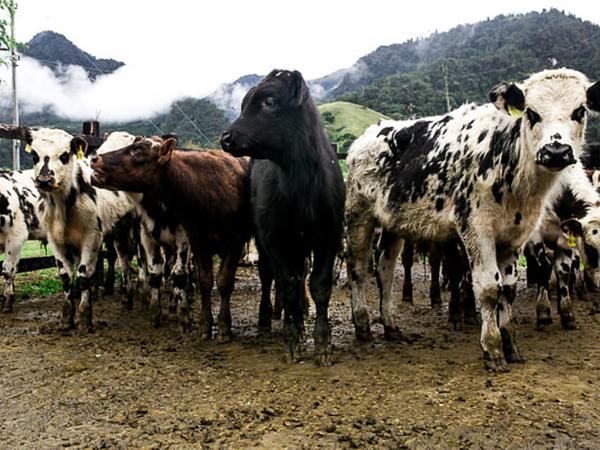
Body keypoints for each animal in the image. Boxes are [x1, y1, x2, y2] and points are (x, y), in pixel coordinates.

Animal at [90, 136, 250, 342]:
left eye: (137, 150)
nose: (95, 159)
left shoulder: (232, 241)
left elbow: (220, 281)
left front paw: (220, 326)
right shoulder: (192, 240)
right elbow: (198, 280)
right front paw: (200, 324)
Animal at [220, 70, 344, 366]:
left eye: (269, 102)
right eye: (243, 104)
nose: (226, 137)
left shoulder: (329, 236)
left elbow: (319, 286)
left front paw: (322, 345)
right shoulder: (274, 237)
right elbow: (287, 284)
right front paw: (291, 343)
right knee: (271, 277)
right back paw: (271, 320)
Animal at [344, 67, 600, 370]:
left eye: (579, 110)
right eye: (531, 112)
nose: (556, 151)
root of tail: (368, 136)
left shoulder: (515, 236)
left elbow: (508, 289)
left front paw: (510, 344)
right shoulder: (477, 231)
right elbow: (489, 287)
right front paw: (492, 348)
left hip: (393, 225)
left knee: (385, 269)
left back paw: (391, 326)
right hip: (358, 216)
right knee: (358, 268)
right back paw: (362, 325)